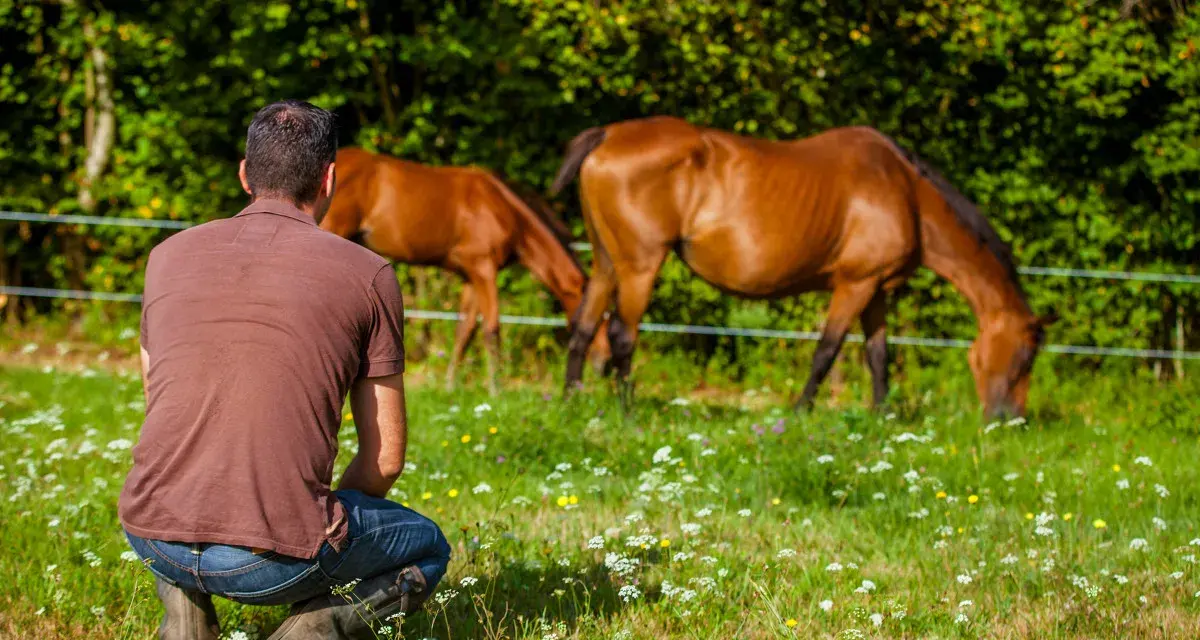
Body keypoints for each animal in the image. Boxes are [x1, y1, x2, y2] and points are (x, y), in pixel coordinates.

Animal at [322, 147, 610, 394]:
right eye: (599, 320)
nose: (605, 364)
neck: (503, 209)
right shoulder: (485, 270)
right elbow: (491, 330)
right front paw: (496, 390)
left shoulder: (471, 277)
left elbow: (465, 331)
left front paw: (451, 386)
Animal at [550, 116, 1053, 418]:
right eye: (1025, 356)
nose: (1008, 420)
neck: (906, 193)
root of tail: (608, 134)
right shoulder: (854, 285)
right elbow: (827, 351)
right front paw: (799, 412)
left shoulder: (877, 290)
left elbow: (879, 355)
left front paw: (882, 417)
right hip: (640, 266)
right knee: (621, 334)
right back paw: (627, 410)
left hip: (607, 263)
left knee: (584, 326)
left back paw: (572, 402)